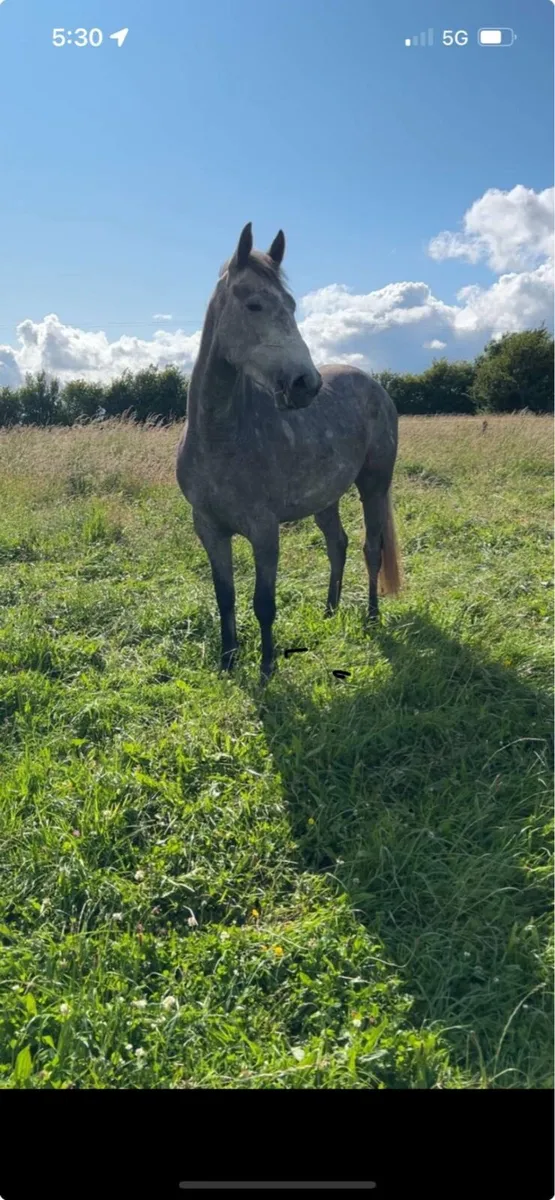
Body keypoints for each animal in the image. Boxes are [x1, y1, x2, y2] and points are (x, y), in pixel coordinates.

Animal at [176, 223, 401, 683]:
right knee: (338, 543)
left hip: (373, 485)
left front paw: (266, 669)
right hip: (325, 498)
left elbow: (263, 602)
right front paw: (227, 661)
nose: (305, 384)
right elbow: (224, 596)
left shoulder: (264, 531)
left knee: (371, 548)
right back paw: (330, 611)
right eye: (254, 304)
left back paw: (371, 617)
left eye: (293, 306)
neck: (220, 437)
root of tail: (376, 386)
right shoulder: (208, 528)